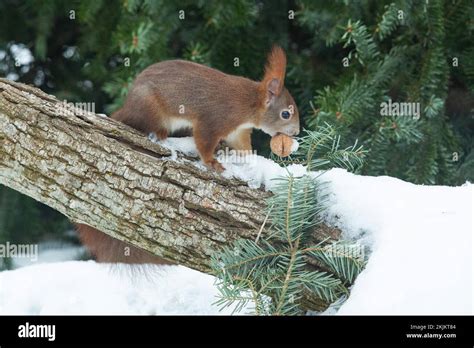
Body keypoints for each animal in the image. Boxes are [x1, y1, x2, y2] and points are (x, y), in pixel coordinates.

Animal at [77, 45, 300, 264]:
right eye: (285, 114)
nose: (297, 132)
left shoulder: (238, 132)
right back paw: (159, 134)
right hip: (151, 109)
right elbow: (204, 141)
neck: (249, 104)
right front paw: (211, 162)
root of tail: (128, 108)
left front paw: (253, 160)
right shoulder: (213, 120)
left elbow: (242, 147)